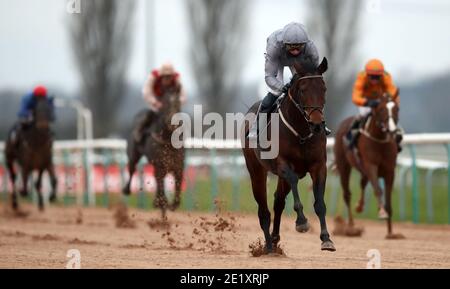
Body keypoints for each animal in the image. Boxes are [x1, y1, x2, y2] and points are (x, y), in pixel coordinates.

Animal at [122, 86, 184, 217]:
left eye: (178, 103)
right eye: (165, 103)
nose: (173, 123)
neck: (168, 139)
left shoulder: (178, 167)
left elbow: (177, 190)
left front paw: (171, 205)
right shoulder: (159, 166)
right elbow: (161, 190)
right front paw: (162, 204)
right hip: (133, 154)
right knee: (132, 169)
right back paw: (126, 189)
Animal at [243, 57, 334, 251]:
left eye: (323, 88)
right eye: (302, 90)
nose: (317, 124)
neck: (301, 133)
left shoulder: (319, 166)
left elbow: (320, 203)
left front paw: (326, 238)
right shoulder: (283, 164)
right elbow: (293, 180)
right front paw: (301, 222)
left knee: (278, 201)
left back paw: (275, 238)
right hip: (256, 171)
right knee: (264, 210)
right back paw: (269, 246)